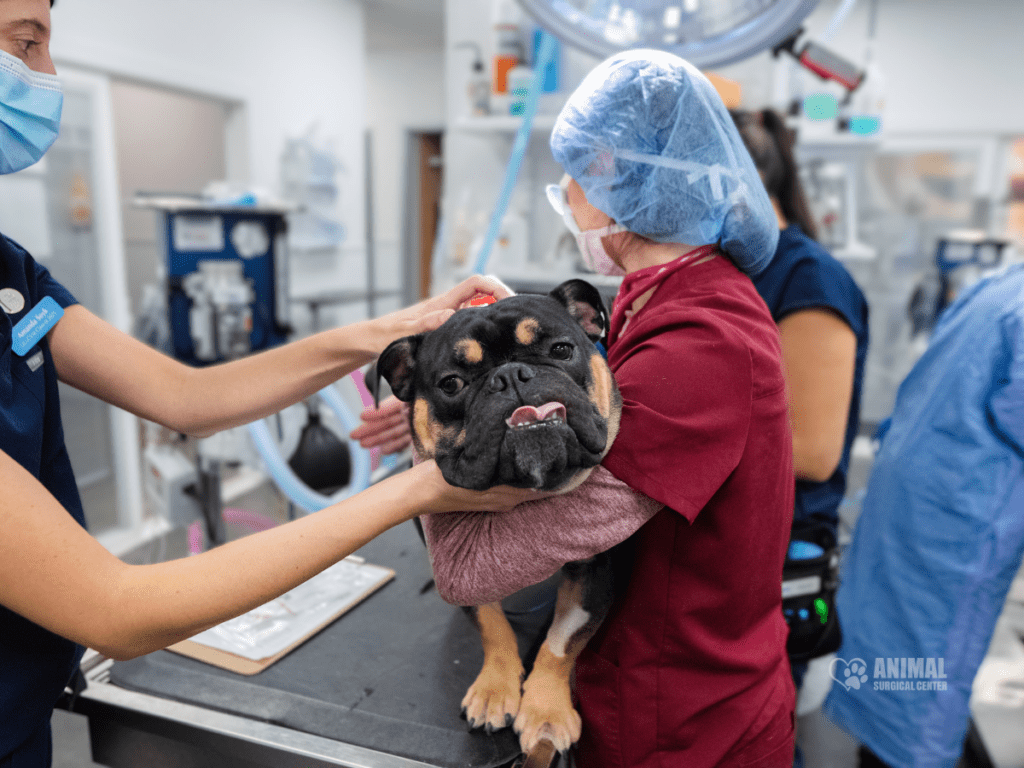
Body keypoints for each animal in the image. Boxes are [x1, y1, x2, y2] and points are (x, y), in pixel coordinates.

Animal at [374, 280, 618, 753]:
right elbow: (490, 624)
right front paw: (495, 690)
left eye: (561, 349)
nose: (510, 376)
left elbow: (563, 639)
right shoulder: (459, 567)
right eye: (451, 383)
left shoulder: (597, 569)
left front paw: (546, 711)